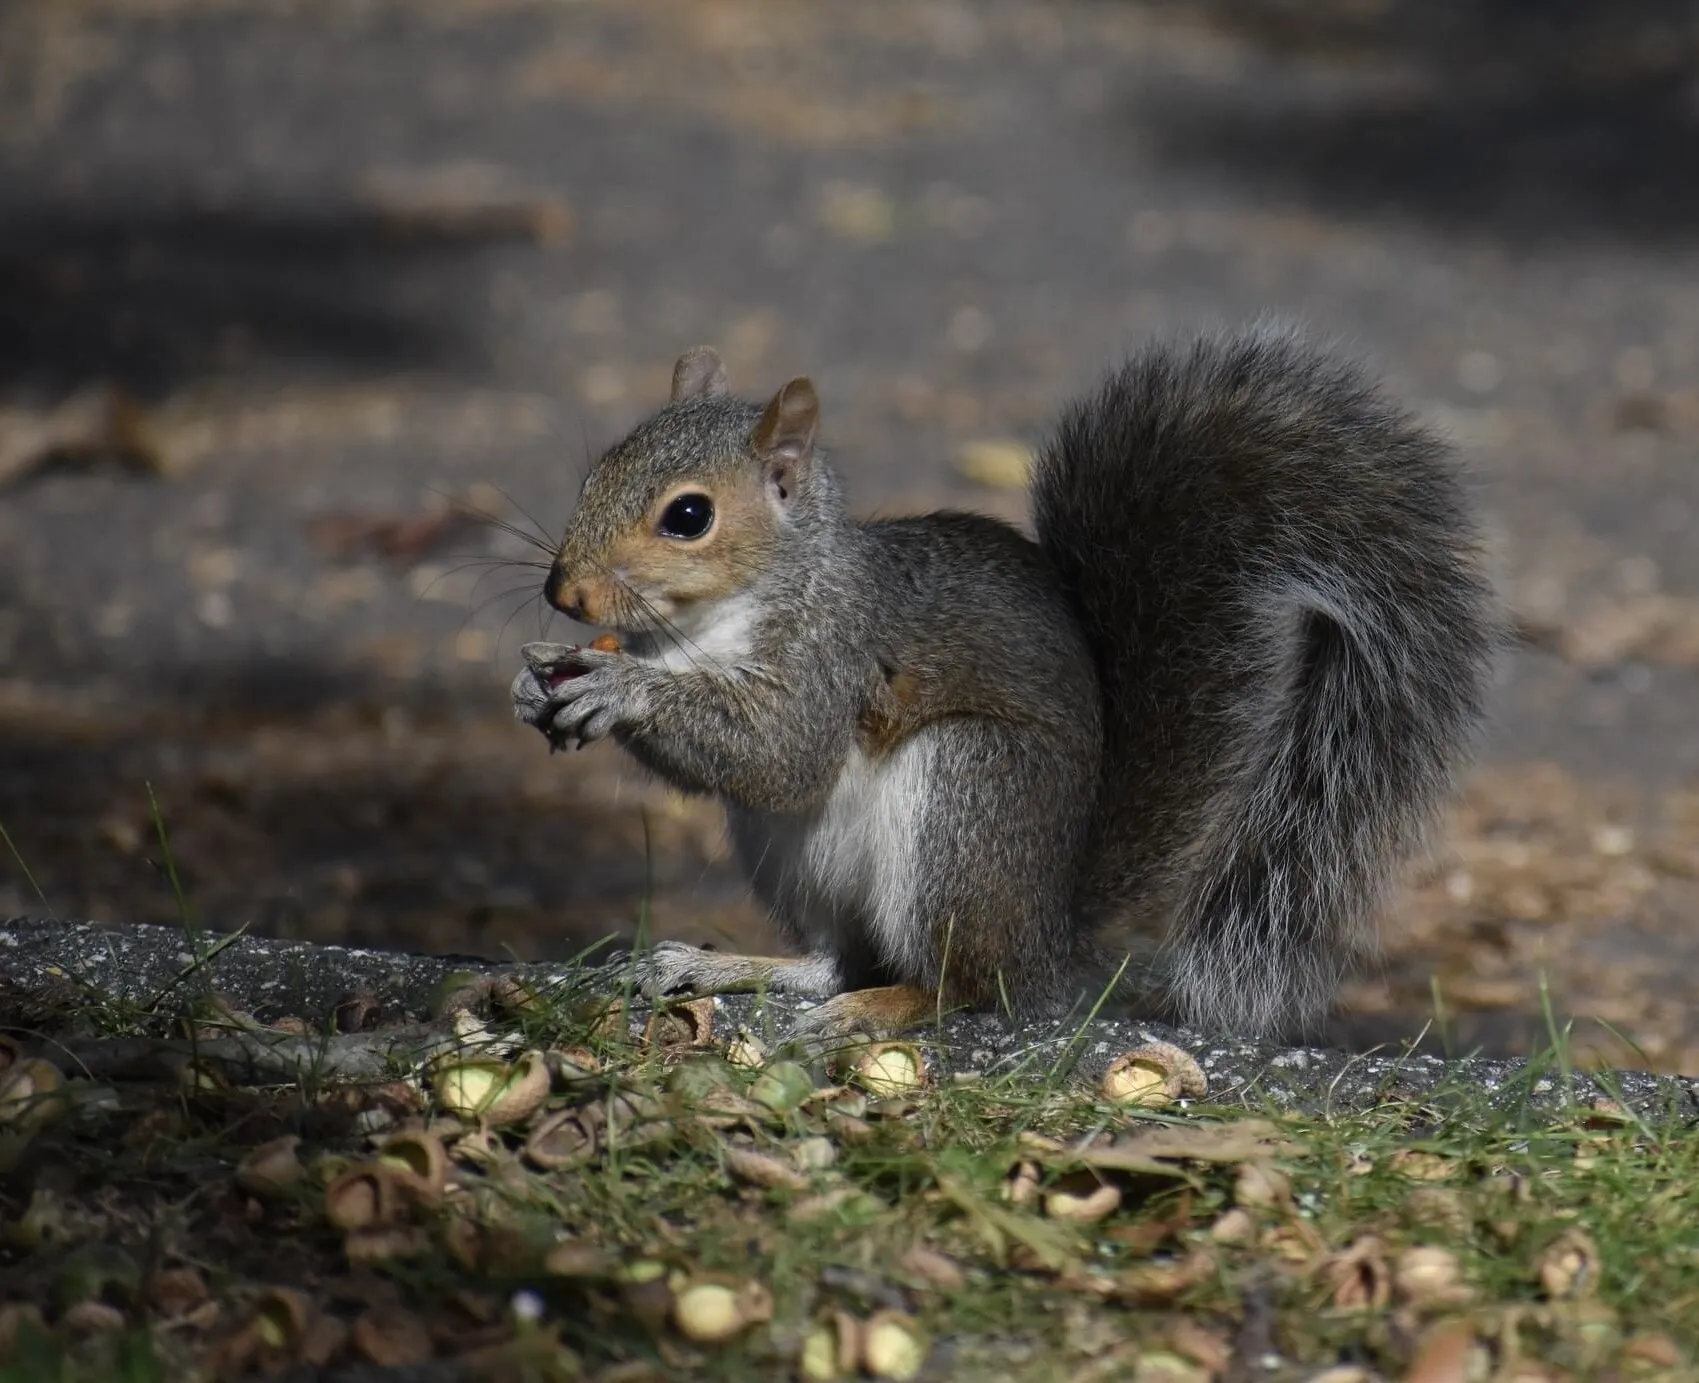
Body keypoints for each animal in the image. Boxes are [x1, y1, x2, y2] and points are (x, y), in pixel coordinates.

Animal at [510, 327, 1501, 1040]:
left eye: (688, 515)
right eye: (597, 469)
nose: (564, 592)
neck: (700, 627)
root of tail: (1046, 936)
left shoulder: (835, 653)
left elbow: (780, 754)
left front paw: (618, 689)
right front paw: (535, 687)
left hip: (966, 795)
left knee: (965, 984)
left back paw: (893, 1005)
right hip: (789, 861)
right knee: (836, 958)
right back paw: (727, 967)